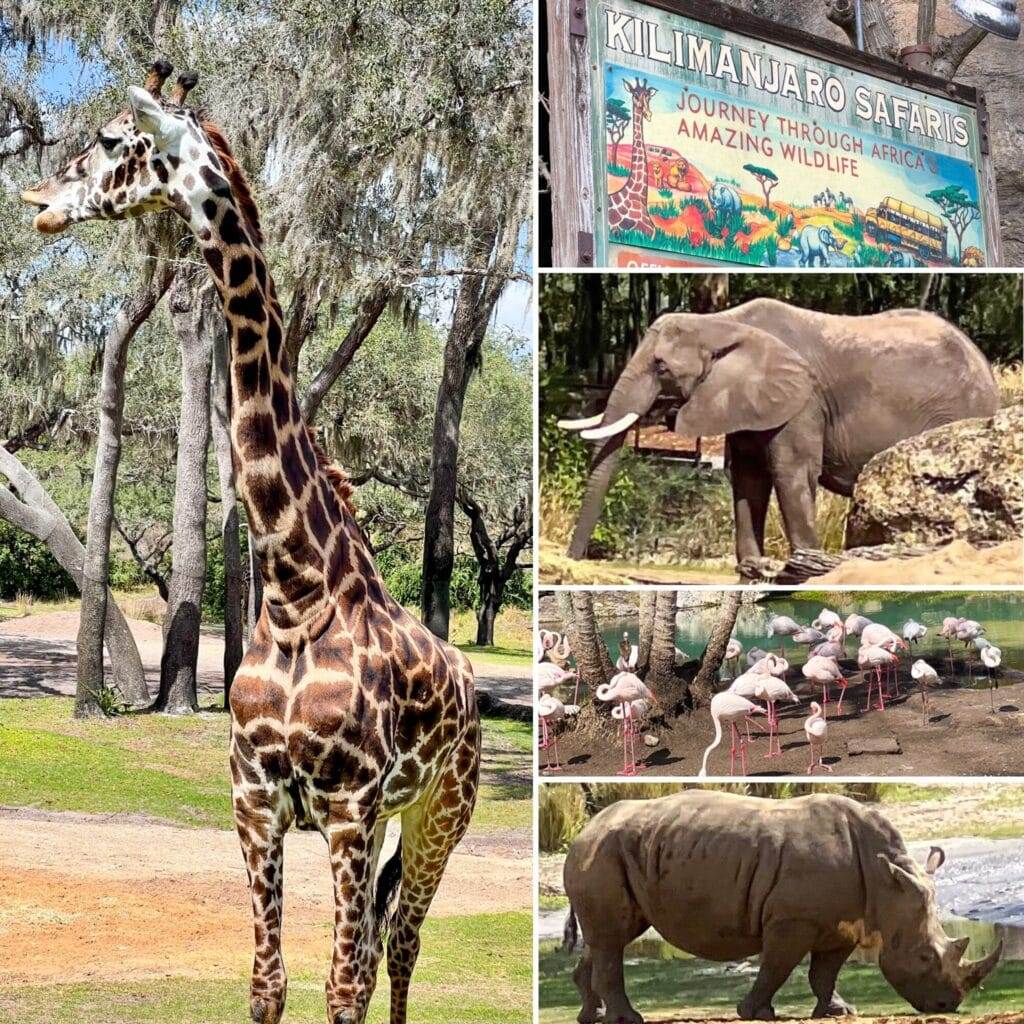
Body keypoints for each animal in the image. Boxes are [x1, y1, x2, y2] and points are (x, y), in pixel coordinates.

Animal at [23, 64, 479, 1024]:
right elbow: (268, 982)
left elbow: (340, 984)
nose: (39, 200)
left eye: (114, 141)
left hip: (442, 810)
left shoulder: (349, 806)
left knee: (400, 945)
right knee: (384, 940)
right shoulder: (255, 801)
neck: (296, 589)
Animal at [557, 299, 995, 577]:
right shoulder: (746, 402)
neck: (722, 322)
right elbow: (748, 477)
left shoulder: (802, 399)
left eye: (661, 367)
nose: (573, 563)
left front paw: (805, 568)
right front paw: (753, 571)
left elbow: (791, 472)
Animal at [561, 790, 999, 1024]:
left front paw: (839, 1012)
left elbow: (826, 972)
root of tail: (582, 832)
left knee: (609, 938)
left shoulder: (845, 921)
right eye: (924, 957)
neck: (889, 881)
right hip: (602, 853)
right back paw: (626, 1019)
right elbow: (777, 966)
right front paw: (755, 1012)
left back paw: (591, 1016)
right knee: (612, 938)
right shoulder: (792, 920)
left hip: (619, 851)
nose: (947, 1005)